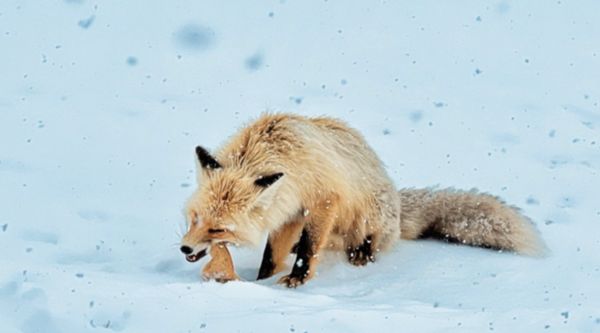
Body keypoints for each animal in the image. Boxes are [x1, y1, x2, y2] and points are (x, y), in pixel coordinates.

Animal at [179, 113, 544, 286]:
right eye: (195, 219)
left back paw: (362, 254)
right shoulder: (289, 211)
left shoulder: (323, 200)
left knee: (363, 243)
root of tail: (397, 205)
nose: (184, 248)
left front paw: (297, 279)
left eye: (218, 230)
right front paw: (262, 281)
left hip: (367, 217)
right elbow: (272, 254)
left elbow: (310, 247)